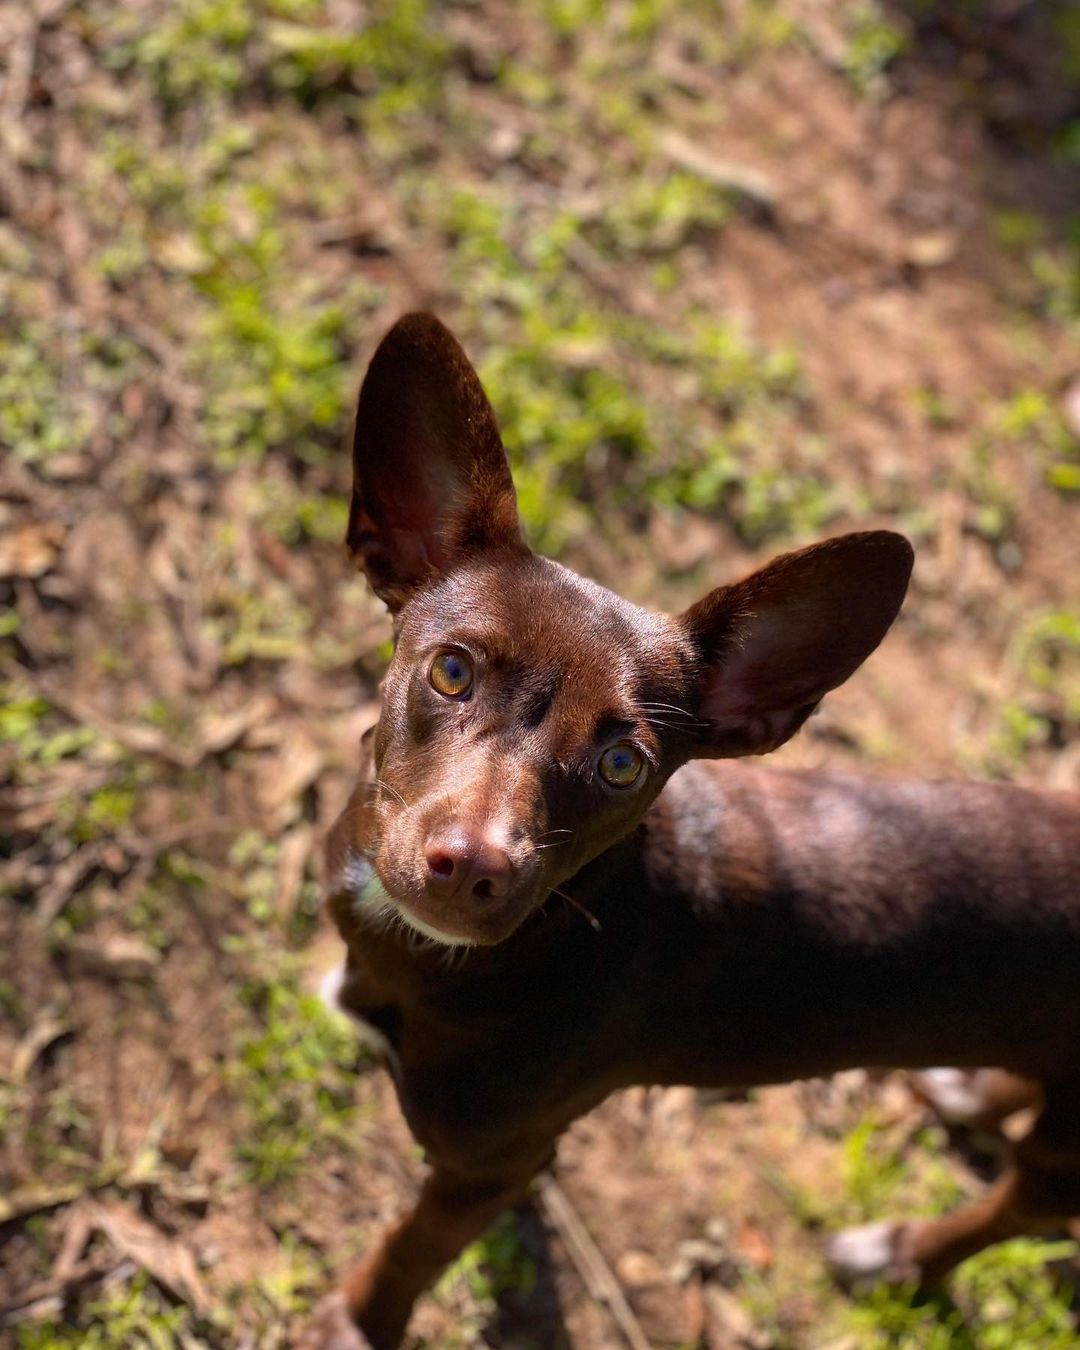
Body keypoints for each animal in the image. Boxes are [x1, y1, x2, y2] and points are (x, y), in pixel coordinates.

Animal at [299, 315, 1080, 1350]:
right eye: (453, 673)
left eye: (622, 765)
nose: (472, 868)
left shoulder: (485, 1164)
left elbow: (411, 1247)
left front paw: (358, 1322)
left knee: (1021, 1206)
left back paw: (901, 1254)